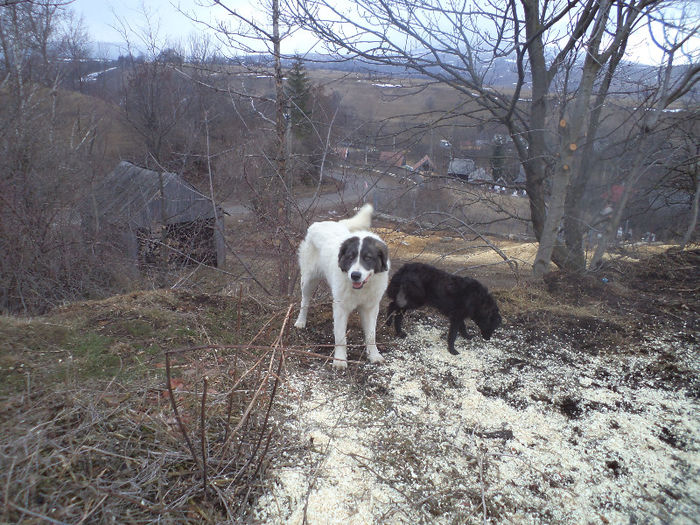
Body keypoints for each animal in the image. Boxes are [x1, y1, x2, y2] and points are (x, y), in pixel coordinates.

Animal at [294, 205, 392, 368]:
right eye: (350, 257)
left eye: (368, 258)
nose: (355, 275)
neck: (361, 289)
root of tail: (321, 223)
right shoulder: (340, 308)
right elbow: (340, 337)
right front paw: (340, 360)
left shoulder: (370, 308)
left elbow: (371, 335)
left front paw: (374, 355)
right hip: (308, 280)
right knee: (304, 301)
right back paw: (301, 321)